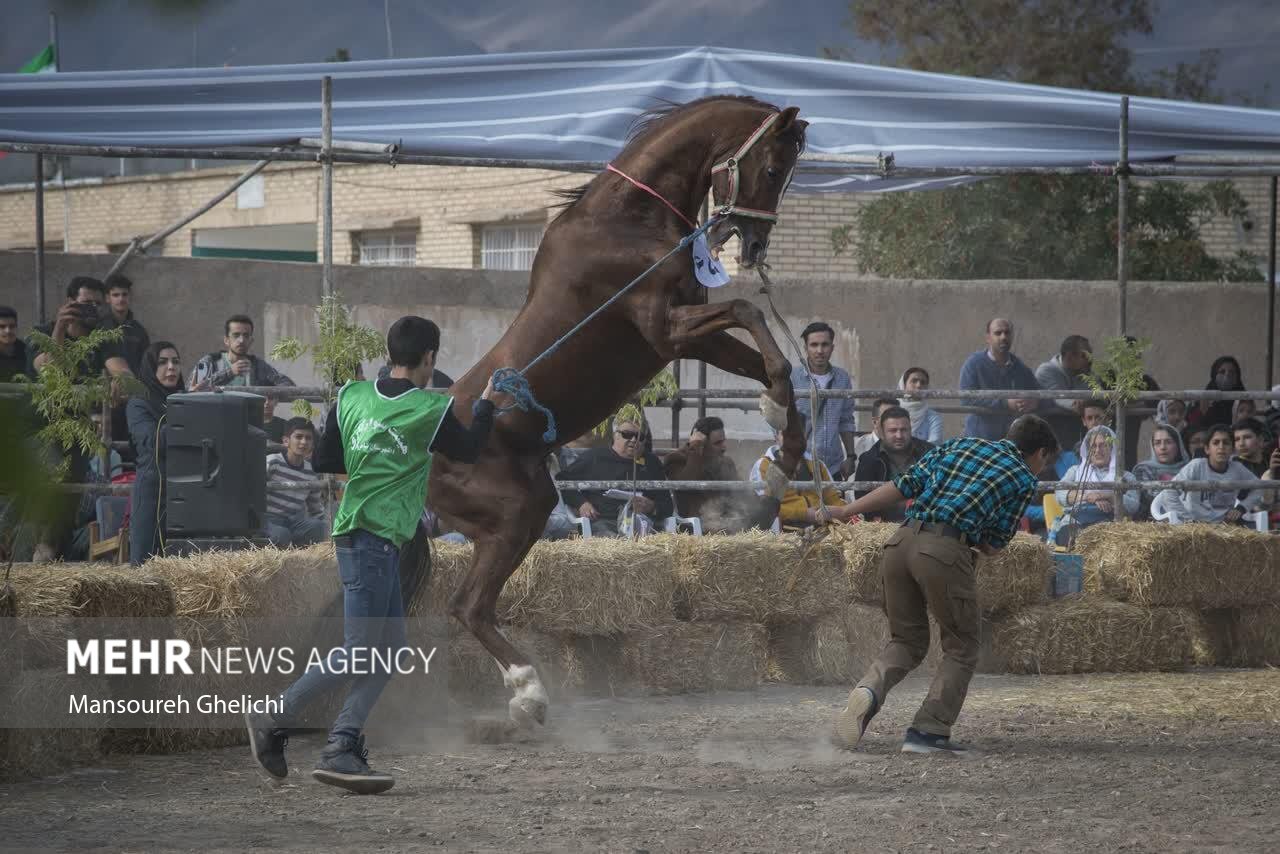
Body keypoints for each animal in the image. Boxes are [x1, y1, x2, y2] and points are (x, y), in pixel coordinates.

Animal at [430, 95, 808, 727]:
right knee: (468, 607)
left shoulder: (686, 338)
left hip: (523, 514)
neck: (625, 222)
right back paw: (529, 692)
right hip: (516, 515)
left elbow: (764, 358)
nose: (754, 246)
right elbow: (749, 313)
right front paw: (774, 409)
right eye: (774, 167)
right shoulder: (666, 328)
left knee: (471, 604)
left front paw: (785, 450)